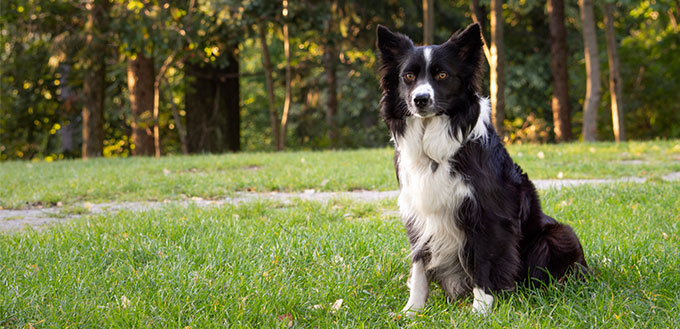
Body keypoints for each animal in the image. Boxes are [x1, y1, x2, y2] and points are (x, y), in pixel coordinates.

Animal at [378, 23, 588, 316]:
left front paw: (480, 309)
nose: (420, 99)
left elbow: (484, 261)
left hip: (558, 234)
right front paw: (412, 310)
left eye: (442, 74)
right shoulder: (418, 213)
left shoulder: (487, 214)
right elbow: (419, 265)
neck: (434, 147)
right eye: (408, 76)